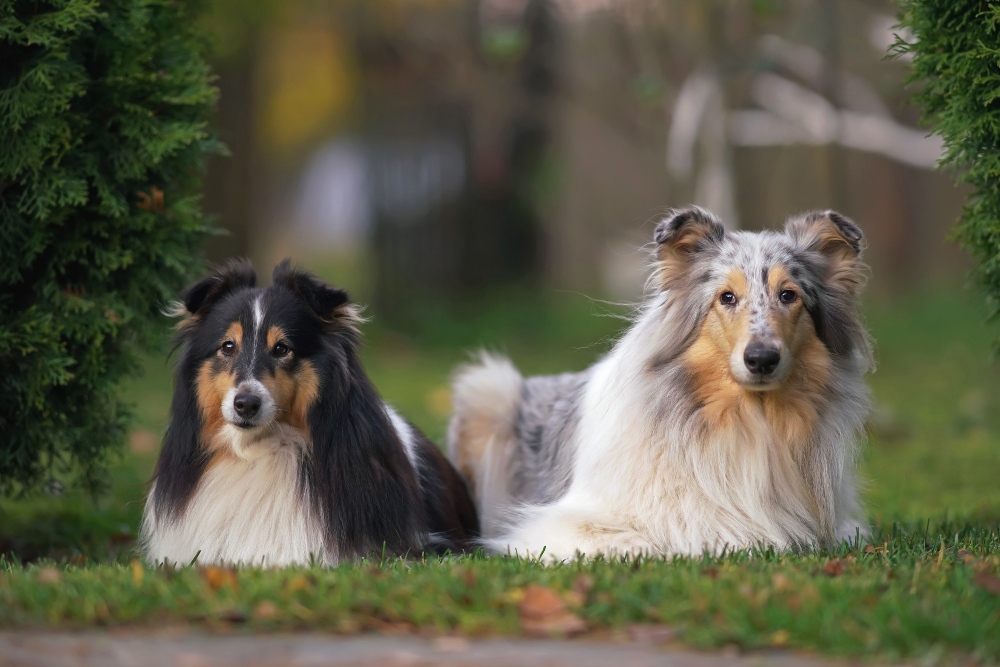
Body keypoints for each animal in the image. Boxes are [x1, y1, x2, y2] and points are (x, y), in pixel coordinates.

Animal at [450, 207, 872, 560]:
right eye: (727, 297)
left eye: (788, 295)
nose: (762, 360)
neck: (750, 418)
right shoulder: (564, 526)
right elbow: (671, 538)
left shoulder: (842, 525)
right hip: (487, 390)